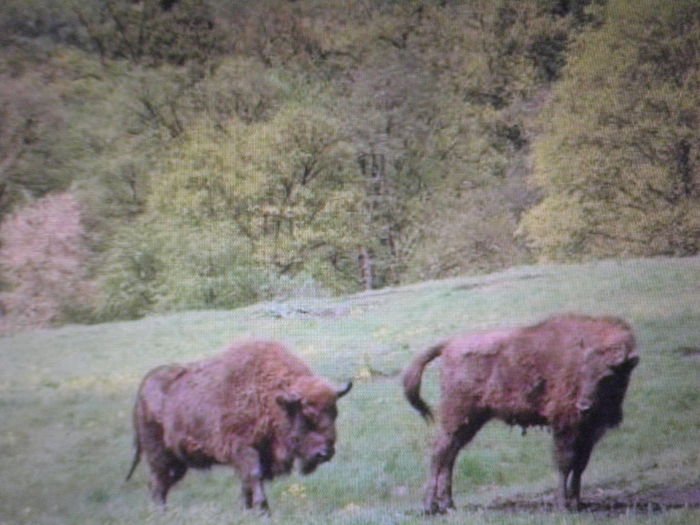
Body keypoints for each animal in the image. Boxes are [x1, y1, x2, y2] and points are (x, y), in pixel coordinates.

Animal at [124, 338, 350, 510]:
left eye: (334, 413)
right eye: (306, 416)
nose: (325, 453)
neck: (271, 399)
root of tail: (142, 388)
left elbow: (247, 485)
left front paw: (247, 509)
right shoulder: (245, 451)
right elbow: (254, 478)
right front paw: (262, 511)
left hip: (179, 462)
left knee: (162, 483)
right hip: (159, 455)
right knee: (158, 482)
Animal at [404, 314, 640, 512]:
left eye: (607, 376)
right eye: (581, 371)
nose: (583, 406)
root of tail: (449, 345)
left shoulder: (590, 432)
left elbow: (580, 466)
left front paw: (577, 502)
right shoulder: (565, 426)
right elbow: (565, 463)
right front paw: (563, 505)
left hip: (471, 421)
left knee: (450, 454)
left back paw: (448, 504)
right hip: (457, 415)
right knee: (439, 452)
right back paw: (430, 507)